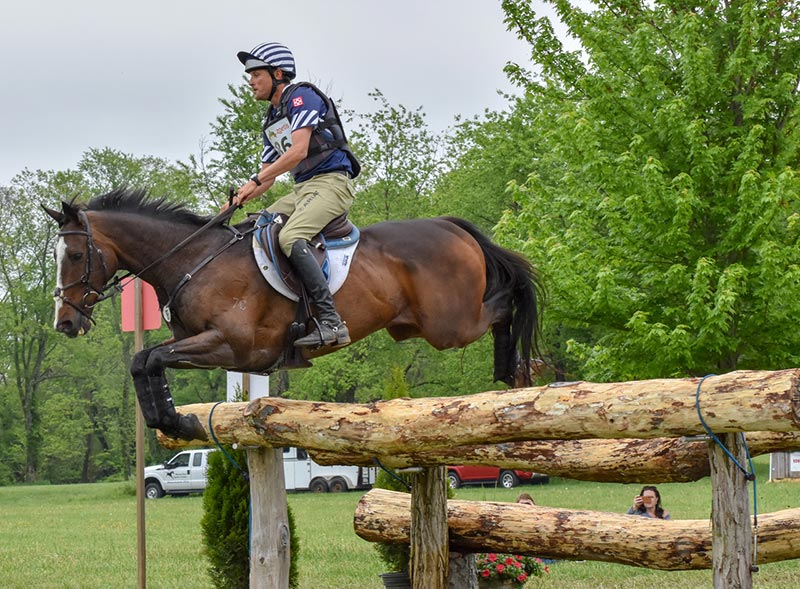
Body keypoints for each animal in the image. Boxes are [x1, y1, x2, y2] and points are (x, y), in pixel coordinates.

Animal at [42, 186, 544, 438]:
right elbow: (142, 361)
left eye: (74, 255)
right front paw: (175, 421)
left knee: (505, 302)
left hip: (449, 324)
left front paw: (174, 420)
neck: (193, 260)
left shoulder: (232, 347)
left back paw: (519, 370)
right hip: (418, 326)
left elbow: (151, 359)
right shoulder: (192, 342)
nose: (64, 323)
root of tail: (449, 225)